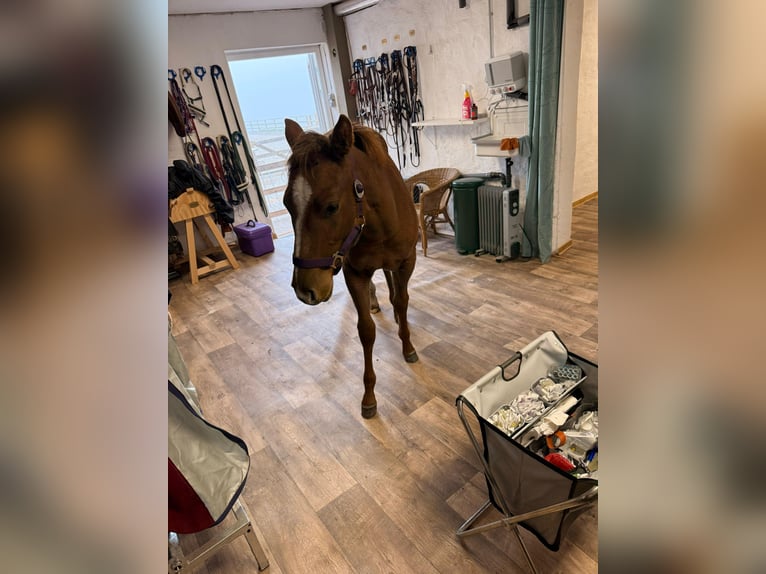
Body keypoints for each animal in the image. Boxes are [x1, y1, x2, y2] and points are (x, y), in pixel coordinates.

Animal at [283, 114, 419, 419]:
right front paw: (368, 396)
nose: (305, 290)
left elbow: (403, 300)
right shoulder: (354, 272)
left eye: (331, 207)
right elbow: (365, 330)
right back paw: (375, 302)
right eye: (286, 204)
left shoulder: (407, 262)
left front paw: (408, 346)